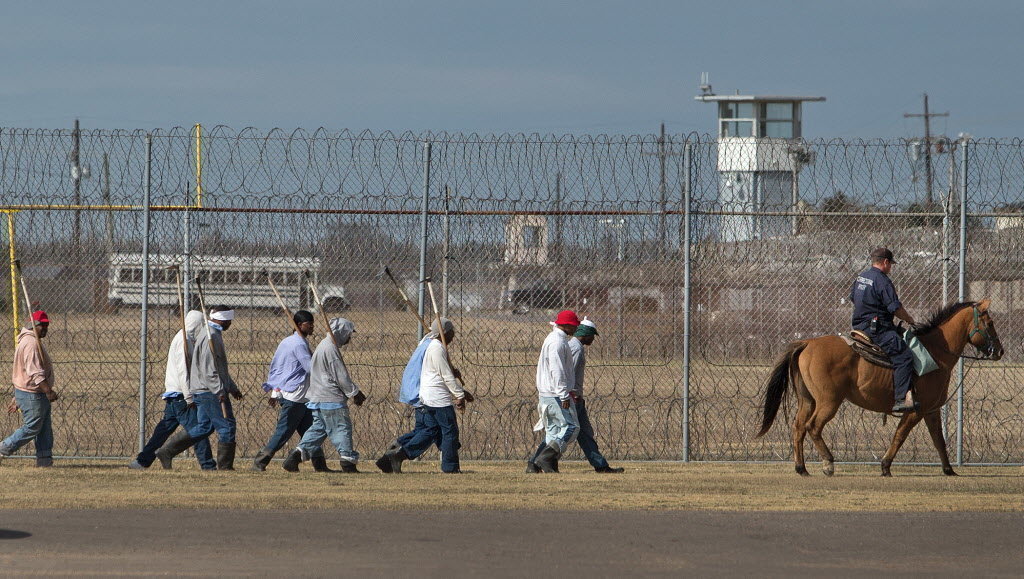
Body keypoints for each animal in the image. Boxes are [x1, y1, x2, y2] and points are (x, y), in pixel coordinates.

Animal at [757, 301, 1003, 475]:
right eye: (990, 324)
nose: (999, 351)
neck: (935, 352)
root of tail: (807, 343)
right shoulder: (915, 410)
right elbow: (900, 435)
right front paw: (885, 466)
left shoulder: (931, 410)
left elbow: (938, 440)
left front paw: (949, 470)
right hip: (828, 402)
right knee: (813, 427)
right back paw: (828, 463)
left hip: (807, 400)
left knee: (798, 427)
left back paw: (801, 468)